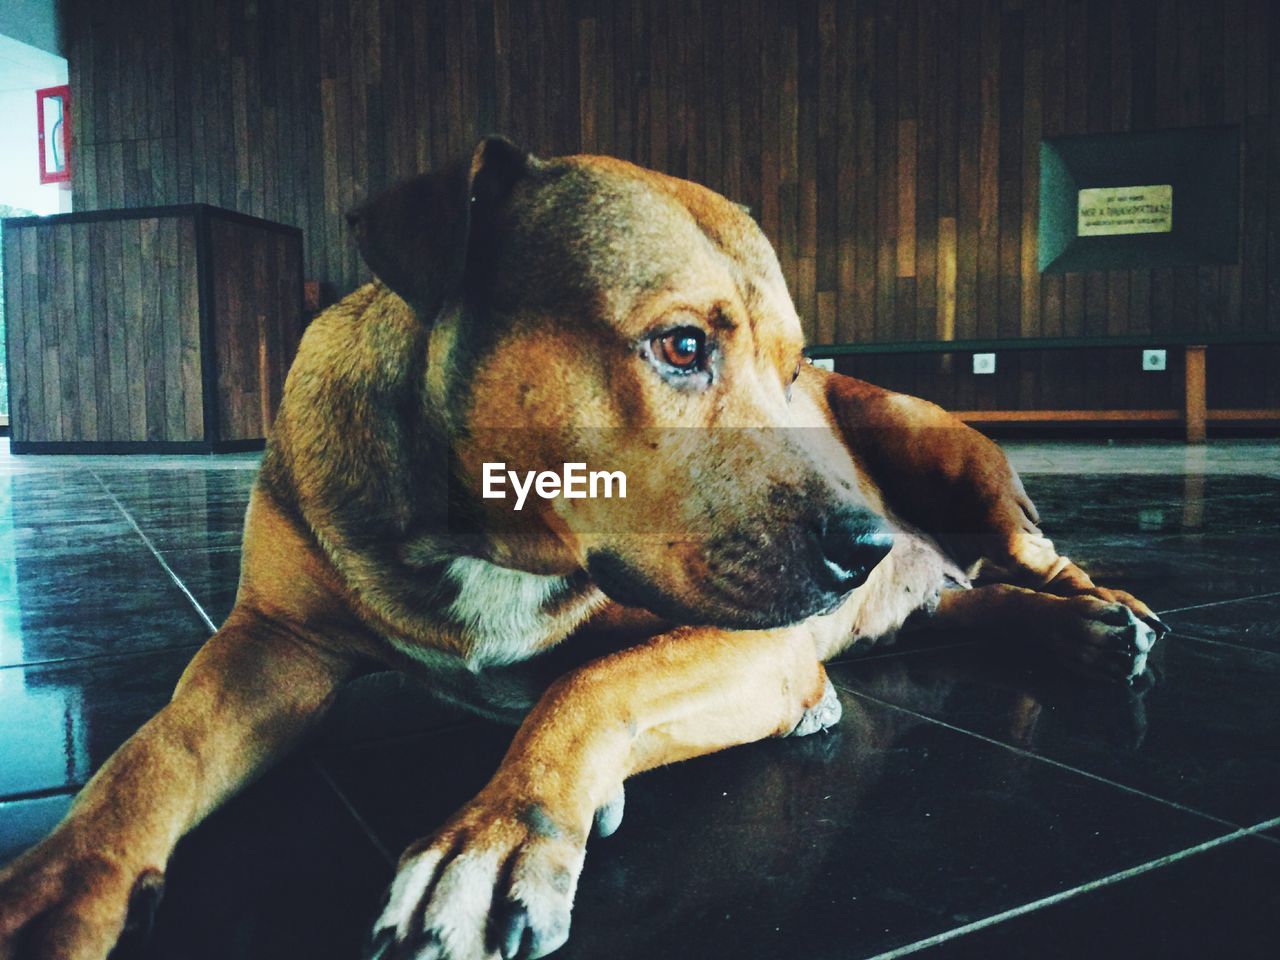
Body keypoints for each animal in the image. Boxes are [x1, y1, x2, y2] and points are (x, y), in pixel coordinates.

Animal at [0, 136, 1162, 960]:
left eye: (794, 366)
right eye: (681, 346)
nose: (866, 545)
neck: (491, 531)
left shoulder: (753, 641)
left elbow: (593, 682)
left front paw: (499, 836)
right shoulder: (271, 646)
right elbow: (157, 752)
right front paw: (59, 885)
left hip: (944, 447)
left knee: (1030, 557)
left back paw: (1106, 618)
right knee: (962, 600)